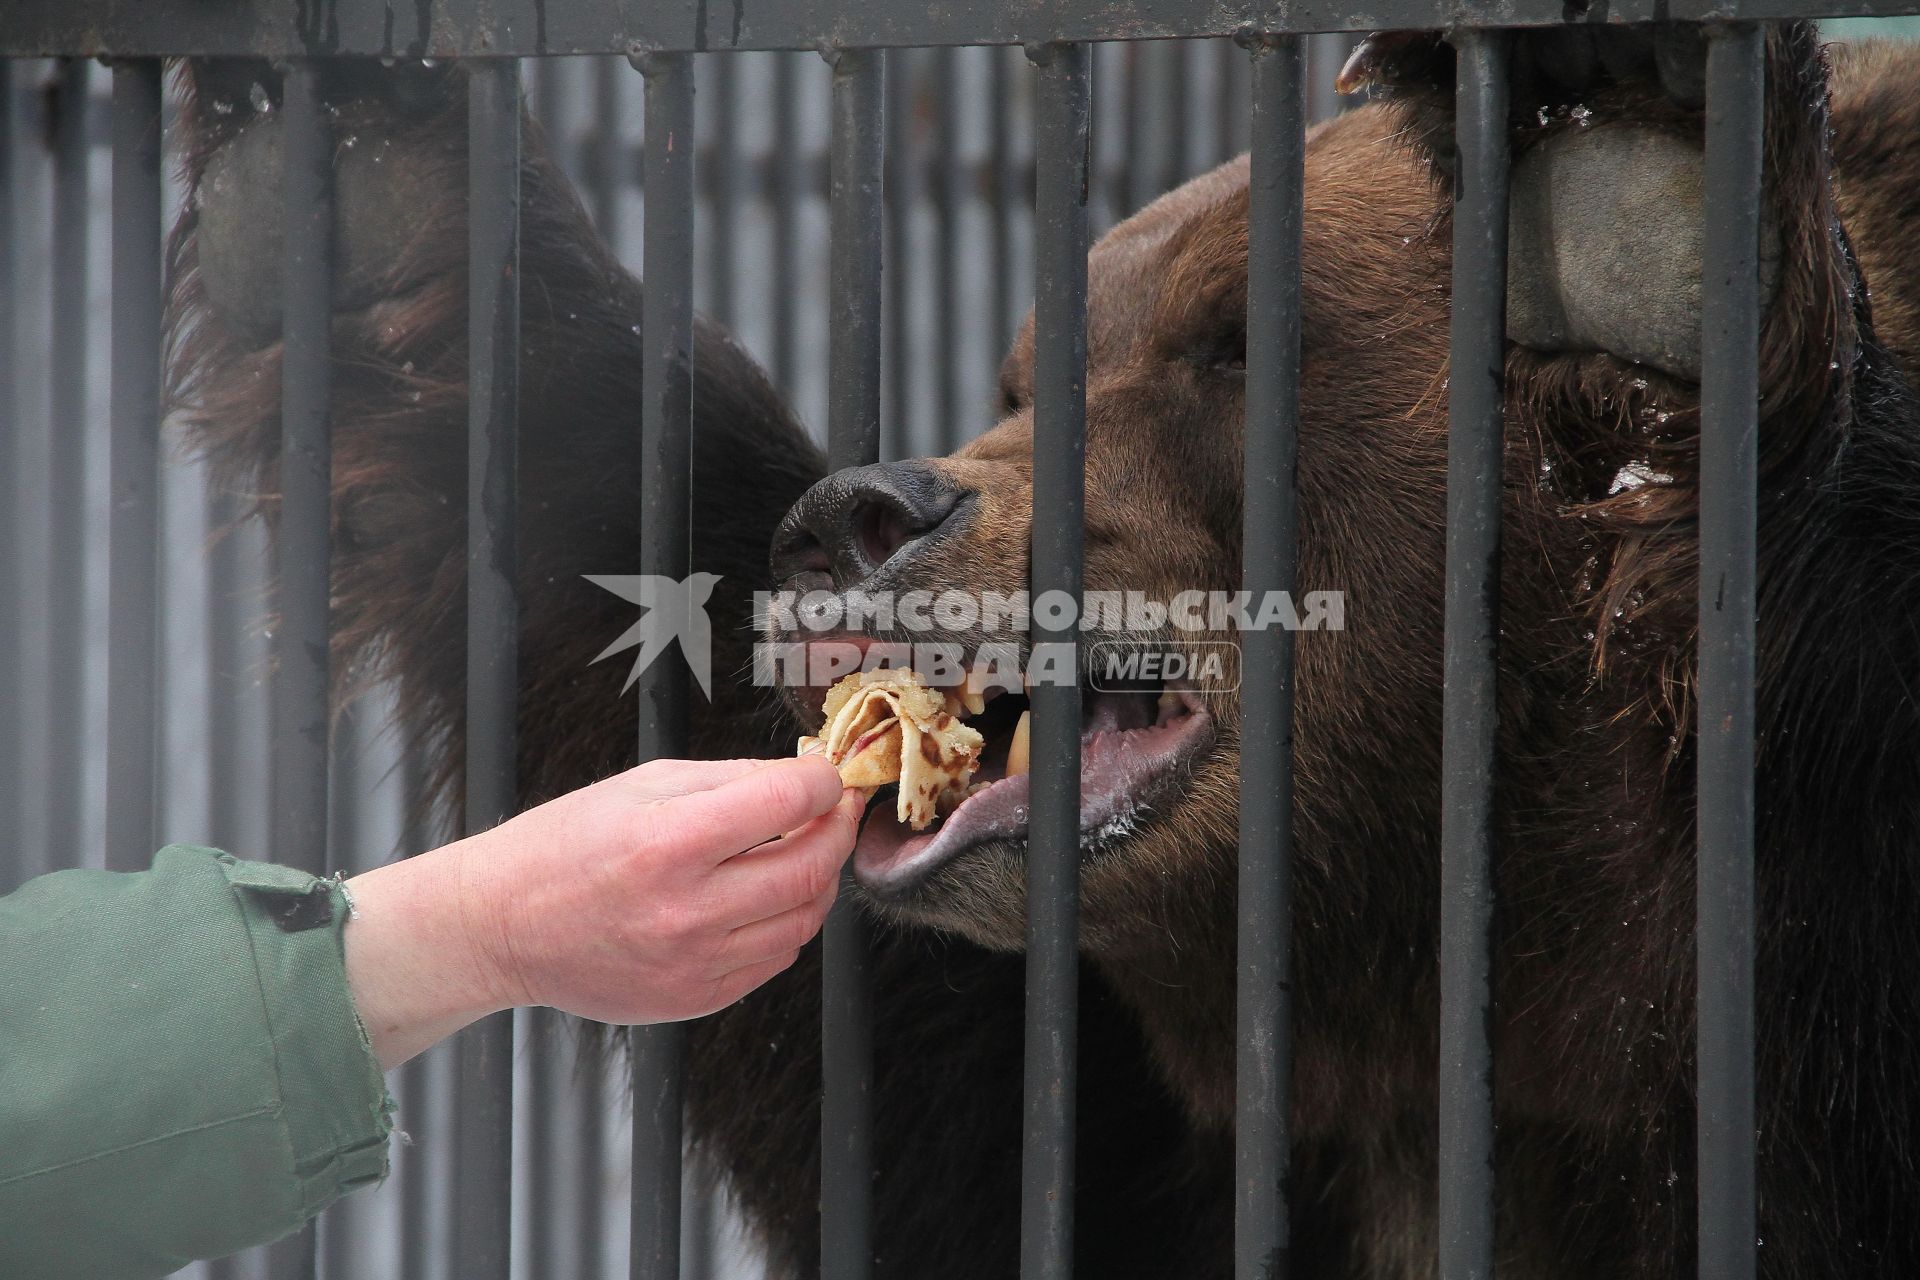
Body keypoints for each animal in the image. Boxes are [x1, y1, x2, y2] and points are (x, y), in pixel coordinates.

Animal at [168, 22, 1920, 1280]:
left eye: (1235, 344)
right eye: (1029, 371)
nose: (863, 514)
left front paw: (1632, 175)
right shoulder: (1175, 1152)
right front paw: (367, 181)